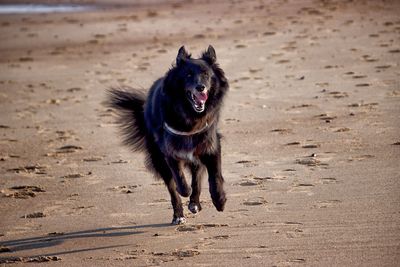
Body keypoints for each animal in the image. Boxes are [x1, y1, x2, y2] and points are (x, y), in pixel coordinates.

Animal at [107, 45, 228, 224]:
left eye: (206, 74)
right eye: (188, 74)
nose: (201, 88)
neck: (189, 115)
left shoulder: (209, 146)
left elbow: (215, 177)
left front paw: (219, 200)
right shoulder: (170, 151)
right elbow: (180, 181)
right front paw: (184, 191)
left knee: (197, 176)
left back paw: (195, 203)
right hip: (158, 159)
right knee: (172, 188)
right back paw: (178, 215)